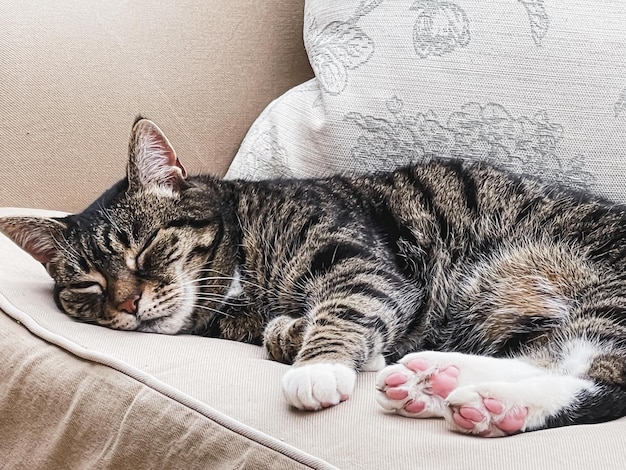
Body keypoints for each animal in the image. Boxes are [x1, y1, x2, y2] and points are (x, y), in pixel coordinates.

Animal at [1, 118, 624, 436]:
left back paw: (491, 405)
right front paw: (328, 346)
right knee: (549, 357)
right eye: (89, 287)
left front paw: (318, 365)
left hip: (579, 284)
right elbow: (283, 330)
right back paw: (433, 382)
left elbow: (342, 308)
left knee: (603, 377)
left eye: (146, 250)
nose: (127, 306)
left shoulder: (363, 264)